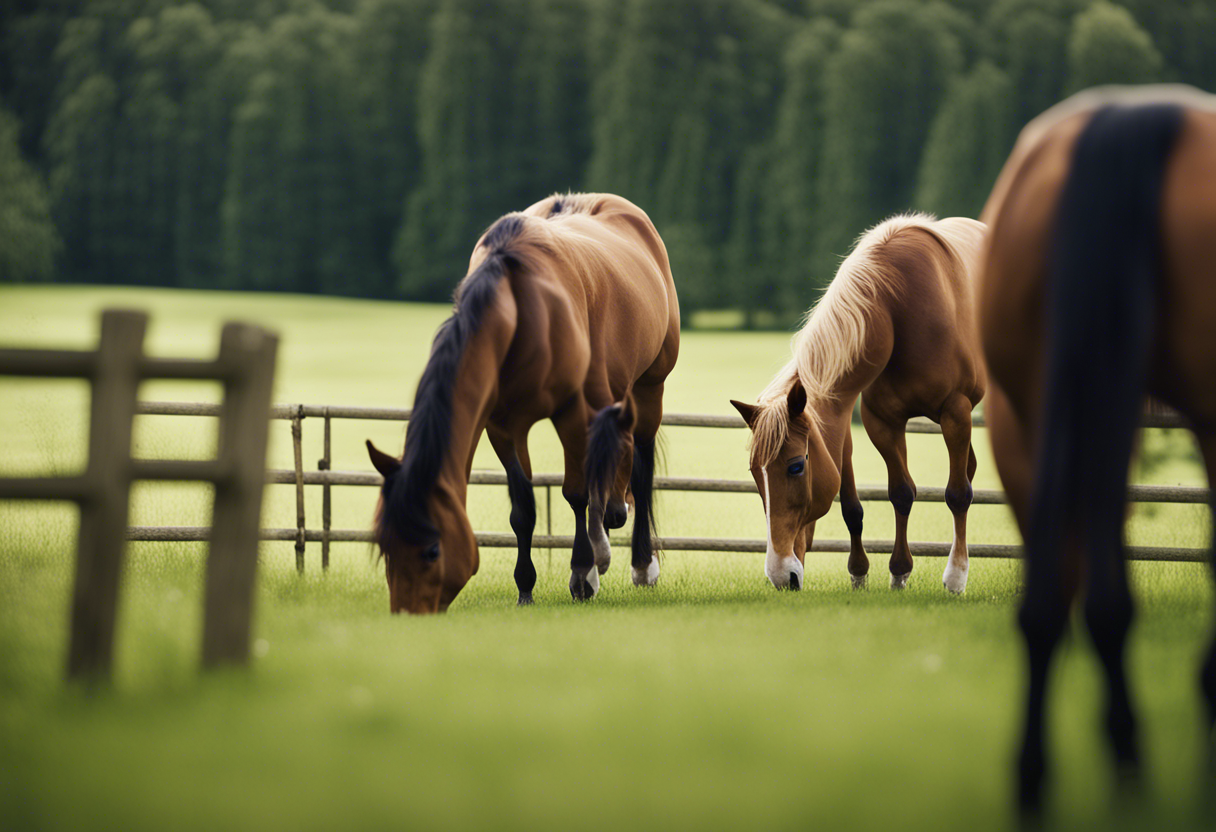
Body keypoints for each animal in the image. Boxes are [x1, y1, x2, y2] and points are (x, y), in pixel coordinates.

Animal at [364, 193, 680, 610]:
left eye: (432, 550)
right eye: (385, 547)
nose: (407, 611)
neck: (520, 310)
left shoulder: (570, 412)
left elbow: (576, 493)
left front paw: (581, 574)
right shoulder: (502, 427)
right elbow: (523, 509)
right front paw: (527, 586)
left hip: (648, 388)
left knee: (640, 469)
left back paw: (641, 562)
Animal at [729, 212, 987, 591]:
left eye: (796, 466)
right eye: (753, 472)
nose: (780, 575)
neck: (899, 311)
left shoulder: (955, 411)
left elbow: (957, 493)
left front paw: (955, 578)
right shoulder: (878, 421)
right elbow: (890, 495)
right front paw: (885, 572)